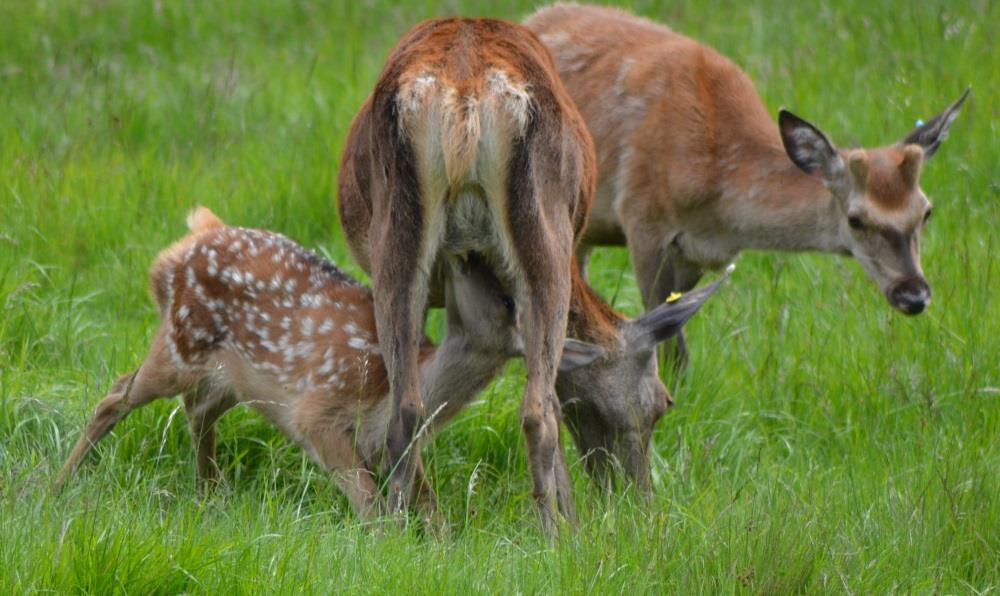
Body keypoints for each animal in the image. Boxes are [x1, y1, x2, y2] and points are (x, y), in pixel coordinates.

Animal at [53, 207, 532, 520]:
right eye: (508, 300)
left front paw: (441, 549)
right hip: (178, 342)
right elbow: (372, 506)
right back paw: (57, 484)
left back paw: (210, 496)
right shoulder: (319, 411)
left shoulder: (392, 446)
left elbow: (429, 506)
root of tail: (195, 235)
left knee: (197, 411)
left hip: (232, 377)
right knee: (116, 394)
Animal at [340, 17, 732, 532]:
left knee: (407, 406)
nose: (638, 503)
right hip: (543, 224)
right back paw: (559, 534)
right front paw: (571, 514)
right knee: (537, 410)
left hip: (396, 236)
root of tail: (463, 94)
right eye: (665, 403)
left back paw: (401, 528)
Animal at [528, 3, 972, 358]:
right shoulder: (642, 216)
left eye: (926, 212)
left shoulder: (699, 253)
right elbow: (667, 345)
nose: (913, 294)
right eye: (856, 219)